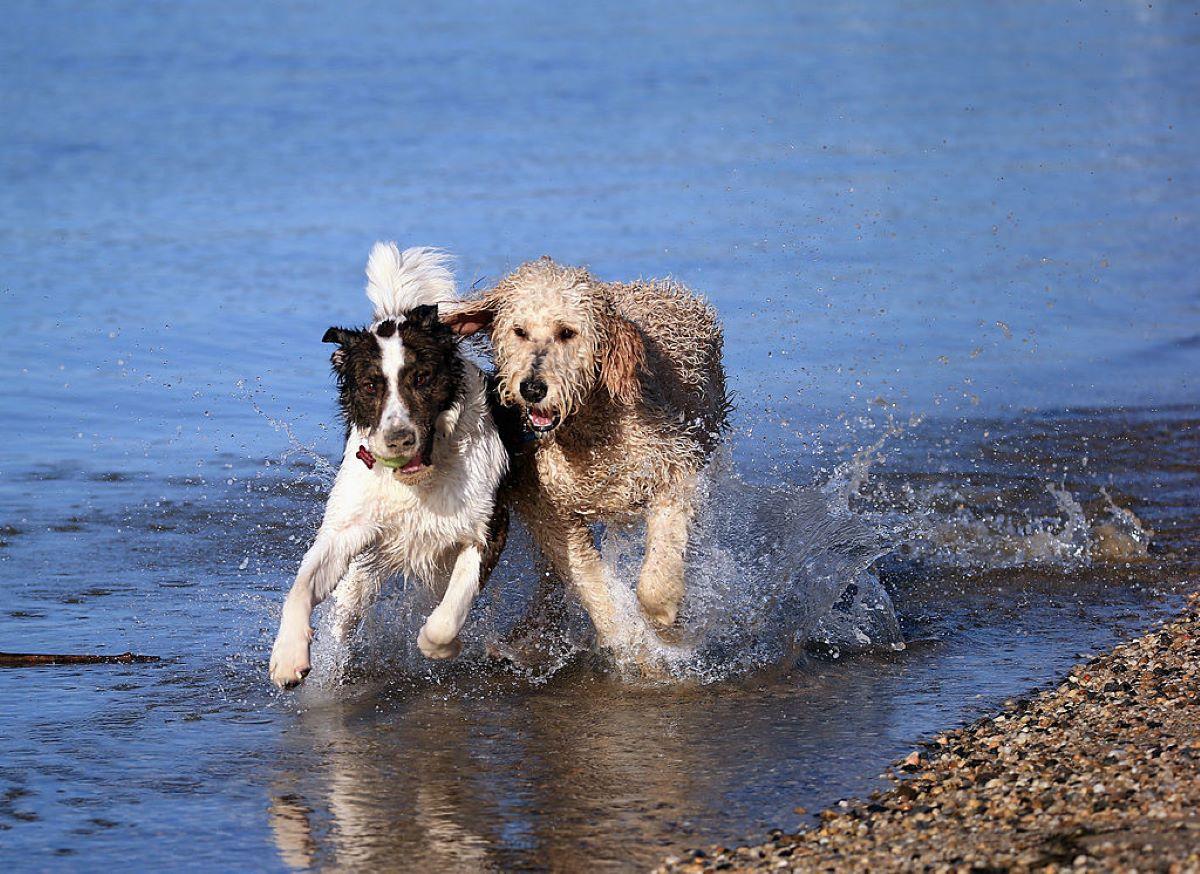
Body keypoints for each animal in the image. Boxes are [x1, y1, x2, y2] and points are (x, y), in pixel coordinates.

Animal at [270, 242, 513, 686]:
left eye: (422, 378)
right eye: (370, 385)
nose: (398, 439)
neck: (418, 481)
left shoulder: (487, 526)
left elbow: (446, 616)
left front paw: (444, 647)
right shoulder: (349, 525)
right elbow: (301, 584)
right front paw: (288, 656)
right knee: (348, 606)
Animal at [444, 259, 729, 648]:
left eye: (567, 332)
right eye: (519, 331)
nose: (532, 388)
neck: (588, 434)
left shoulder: (676, 467)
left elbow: (661, 562)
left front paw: (663, 618)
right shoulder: (547, 507)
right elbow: (586, 575)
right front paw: (623, 636)